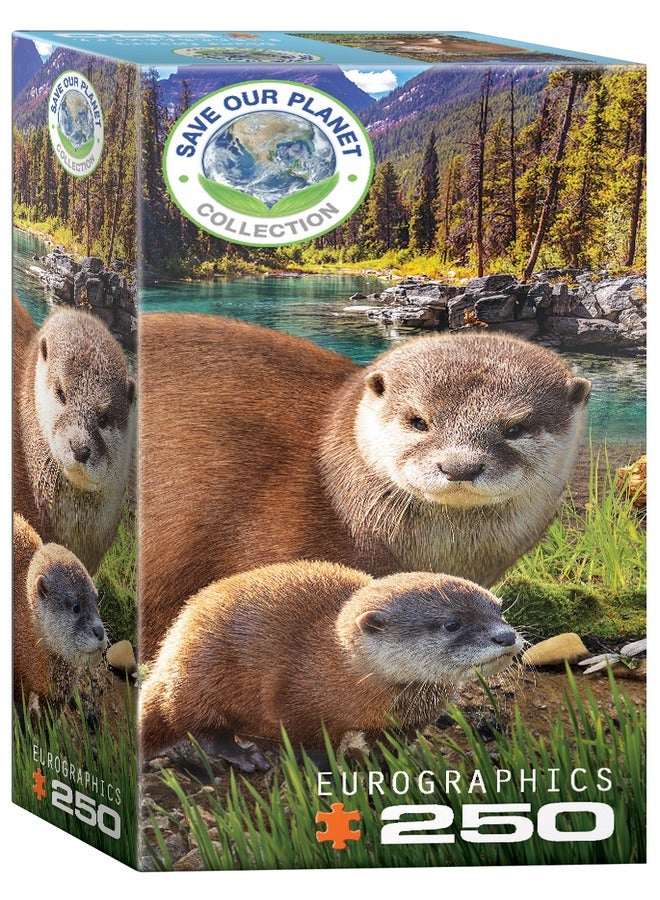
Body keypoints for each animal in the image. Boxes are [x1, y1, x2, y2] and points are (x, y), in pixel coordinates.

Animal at [139, 561, 522, 762]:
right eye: (452, 623)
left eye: (499, 609)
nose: (506, 636)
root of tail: (168, 655)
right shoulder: (296, 701)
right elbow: (309, 743)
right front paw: (330, 769)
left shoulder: (409, 720)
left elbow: (395, 745)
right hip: (200, 675)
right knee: (196, 725)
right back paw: (244, 756)